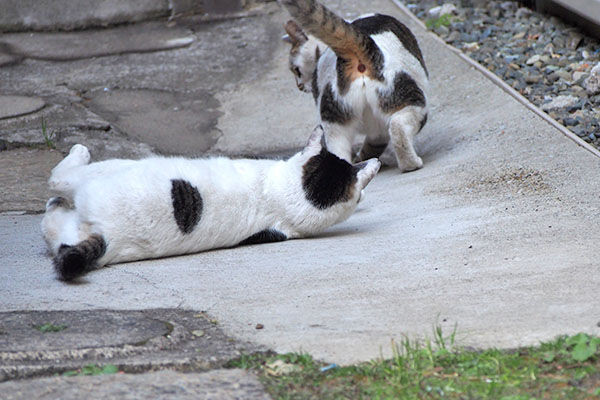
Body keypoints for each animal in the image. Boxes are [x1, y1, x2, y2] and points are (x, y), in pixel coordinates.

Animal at [278, 0, 428, 170]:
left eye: (296, 70)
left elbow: (372, 145)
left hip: (333, 123)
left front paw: (362, 159)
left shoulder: (373, 130)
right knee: (398, 128)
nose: (299, 85)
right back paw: (411, 164)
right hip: (412, 102)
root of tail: (356, 54)